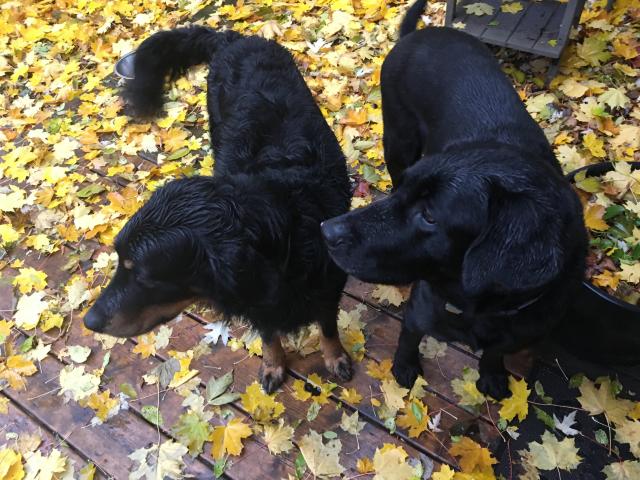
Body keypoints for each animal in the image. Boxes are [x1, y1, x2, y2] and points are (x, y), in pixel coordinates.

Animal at [82, 26, 352, 392]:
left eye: (144, 276)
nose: (89, 321)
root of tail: (231, 38)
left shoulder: (329, 284)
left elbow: (327, 327)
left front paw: (334, 357)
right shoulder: (260, 303)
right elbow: (269, 334)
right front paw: (273, 364)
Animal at [322, 0, 588, 400]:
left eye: (430, 216)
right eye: (410, 198)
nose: (326, 231)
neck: (481, 309)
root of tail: (417, 34)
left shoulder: (518, 331)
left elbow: (495, 352)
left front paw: (491, 374)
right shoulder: (420, 310)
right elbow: (409, 338)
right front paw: (405, 368)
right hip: (398, 143)